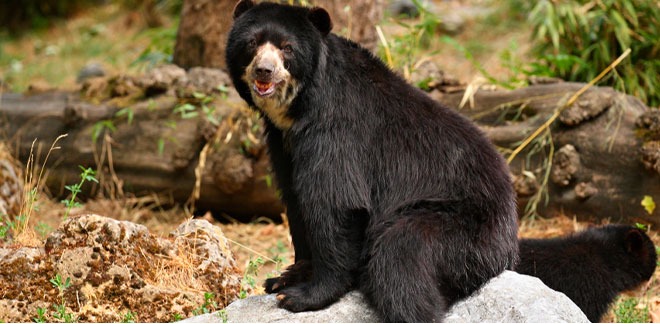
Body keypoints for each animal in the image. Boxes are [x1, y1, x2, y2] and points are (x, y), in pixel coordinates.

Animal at [227, 1, 520, 322]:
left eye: (287, 48)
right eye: (252, 43)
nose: (264, 71)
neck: (297, 109)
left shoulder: (337, 129)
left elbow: (335, 201)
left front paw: (303, 295)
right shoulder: (282, 142)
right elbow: (294, 197)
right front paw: (285, 278)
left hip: (461, 227)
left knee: (399, 259)